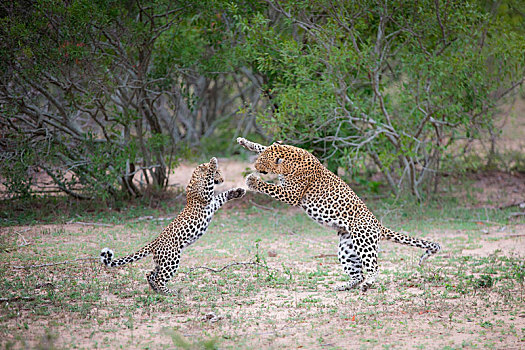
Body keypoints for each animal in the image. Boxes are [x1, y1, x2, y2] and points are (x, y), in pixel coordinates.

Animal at [101, 157, 247, 294]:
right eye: (217, 172)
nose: (222, 179)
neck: (195, 177)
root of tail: (155, 242)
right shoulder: (206, 195)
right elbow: (209, 179)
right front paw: (213, 162)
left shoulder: (212, 203)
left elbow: (222, 196)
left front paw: (238, 192)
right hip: (171, 259)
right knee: (159, 278)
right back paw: (169, 292)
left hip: (162, 261)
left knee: (150, 274)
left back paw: (156, 290)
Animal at [238, 138, 442, 292]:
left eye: (261, 162)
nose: (254, 166)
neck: (289, 158)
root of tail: (378, 224)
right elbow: (263, 145)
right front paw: (244, 142)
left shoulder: (292, 194)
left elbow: (269, 186)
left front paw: (252, 180)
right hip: (347, 247)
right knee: (358, 274)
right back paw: (344, 286)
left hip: (364, 241)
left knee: (374, 267)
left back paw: (368, 284)